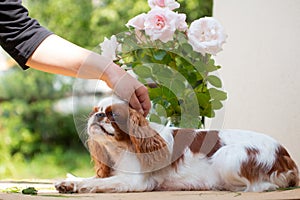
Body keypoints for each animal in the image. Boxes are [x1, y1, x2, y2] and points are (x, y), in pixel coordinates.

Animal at [55, 96, 298, 193]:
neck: (120, 149)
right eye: (95, 111)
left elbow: (100, 183)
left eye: (112, 114)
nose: (97, 117)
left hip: (228, 156)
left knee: (260, 186)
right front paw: (68, 183)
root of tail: (285, 154)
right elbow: (91, 179)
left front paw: (77, 186)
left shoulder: (134, 181)